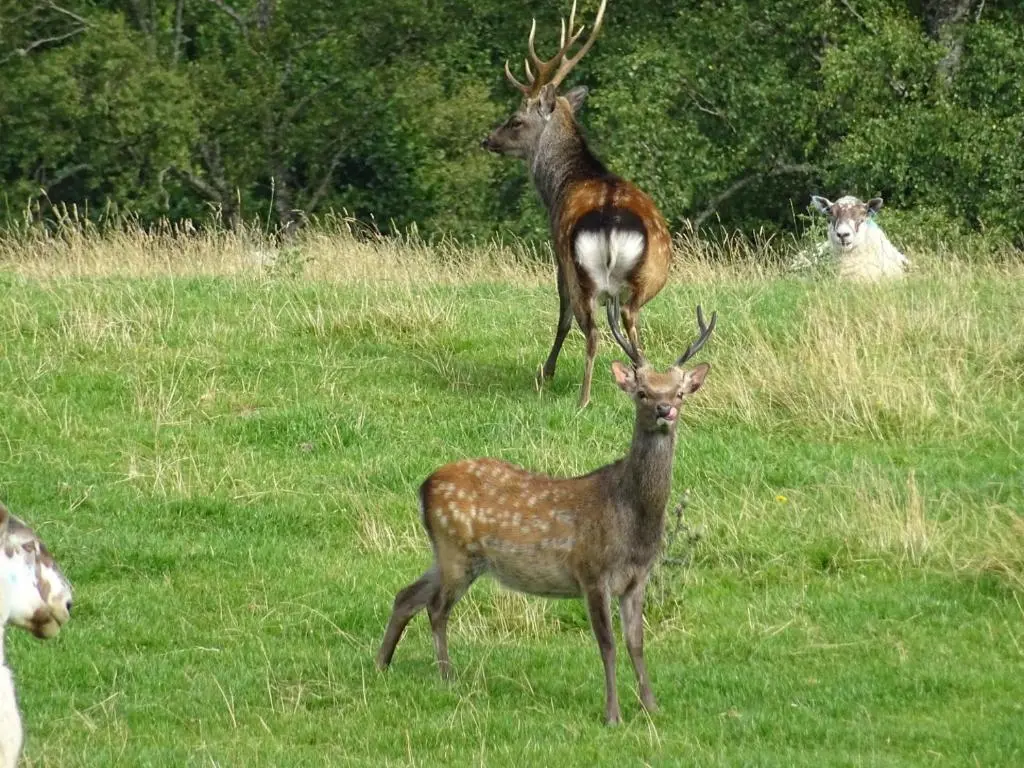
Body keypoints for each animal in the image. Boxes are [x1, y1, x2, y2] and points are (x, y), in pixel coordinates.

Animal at [376, 300, 716, 725]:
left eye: (680, 392)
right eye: (642, 392)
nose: (665, 410)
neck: (632, 521)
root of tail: (424, 487)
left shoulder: (637, 578)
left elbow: (636, 642)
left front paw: (652, 707)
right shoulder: (591, 571)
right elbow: (607, 644)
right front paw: (613, 714)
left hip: (449, 553)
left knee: (406, 595)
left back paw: (381, 664)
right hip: (457, 550)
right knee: (437, 607)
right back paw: (447, 677)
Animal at [482, 0, 673, 408]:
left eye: (515, 120)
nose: (487, 139)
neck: (562, 184)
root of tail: (612, 221)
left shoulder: (556, 252)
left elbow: (562, 315)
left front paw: (546, 371)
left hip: (580, 269)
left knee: (591, 329)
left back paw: (583, 399)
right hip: (654, 272)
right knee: (631, 321)